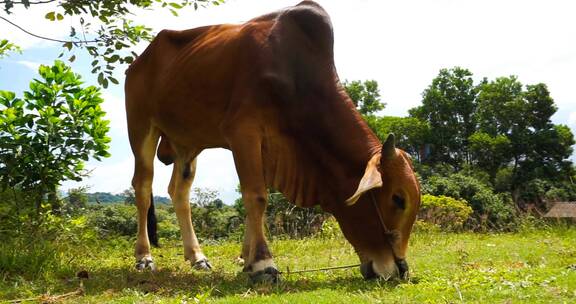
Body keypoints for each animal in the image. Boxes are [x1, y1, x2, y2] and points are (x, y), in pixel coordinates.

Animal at [126, 1, 420, 282]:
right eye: (398, 199)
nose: (400, 269)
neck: (295, 75)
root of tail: (140, 60)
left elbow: (255, 200)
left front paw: (247, 261)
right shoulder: (242, 131)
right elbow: (256, 196)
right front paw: (263, 264)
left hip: (187, 142)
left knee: (180, 192)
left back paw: (197, 257)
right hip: (141, 127)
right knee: (143, 187)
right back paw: (144, 257)